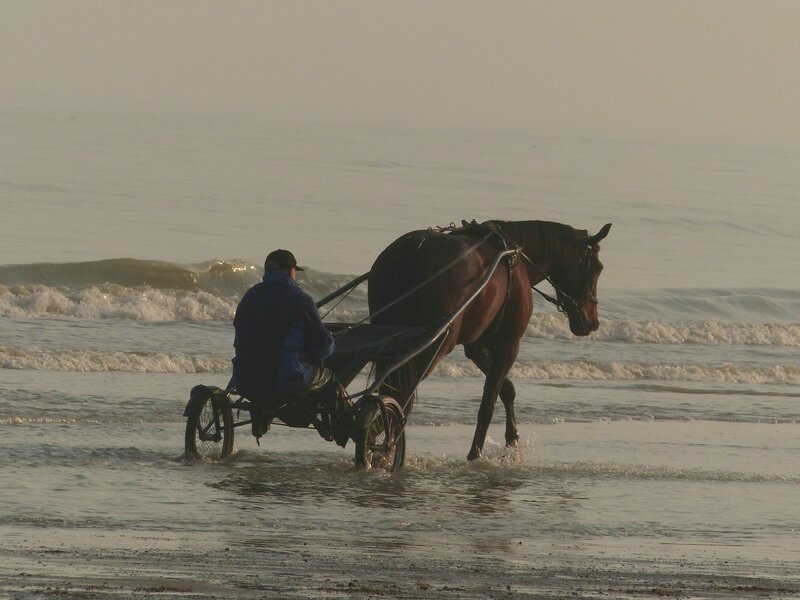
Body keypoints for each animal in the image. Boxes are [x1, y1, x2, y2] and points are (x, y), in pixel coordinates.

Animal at [368, 220, 612, 460]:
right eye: (597, 267)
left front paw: (511, 438)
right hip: (435, 344)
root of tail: (411, 253)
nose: (593, 322)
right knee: (401, 395)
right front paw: (476, 452)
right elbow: (489, 402)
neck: (516, 259)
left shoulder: (477, 347)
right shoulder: (509, 344)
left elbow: (506, 389)